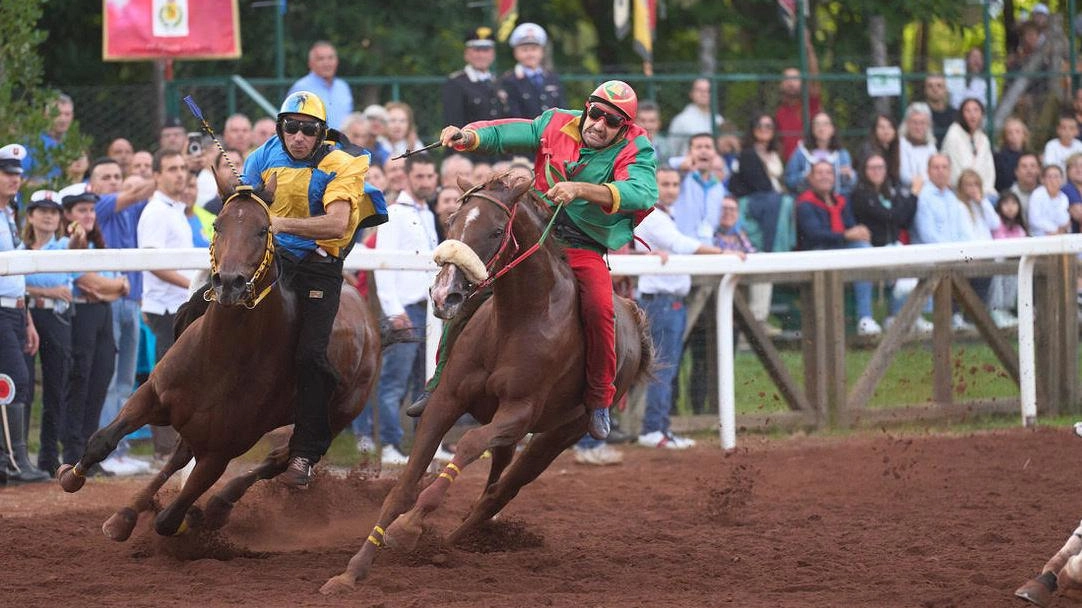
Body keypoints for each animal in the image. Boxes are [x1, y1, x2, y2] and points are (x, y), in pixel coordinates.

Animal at [58, 176, 385, 538]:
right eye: (218, 225)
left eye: (262, 229)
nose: (230, 282)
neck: (220, 357)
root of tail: (372, 326)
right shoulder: (152, 393)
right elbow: (103, 439)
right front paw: (72, 477)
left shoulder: (222, 450)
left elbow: (169, 518)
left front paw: (189, 516)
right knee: (183, 455)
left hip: (337, 415)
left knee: (280, 459)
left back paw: (220, 503)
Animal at [315, 170, 644, 592]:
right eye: (452, 220)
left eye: (496, 230)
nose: (445, 294)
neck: (519, 318)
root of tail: (634, 315)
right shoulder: (447, 400)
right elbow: (404, 485)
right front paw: (352, 571)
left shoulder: (518, 413)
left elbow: (469, 444)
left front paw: (408, 528)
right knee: (493, 481)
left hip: (559, 435)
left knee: (500, 492)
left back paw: (450, 541)